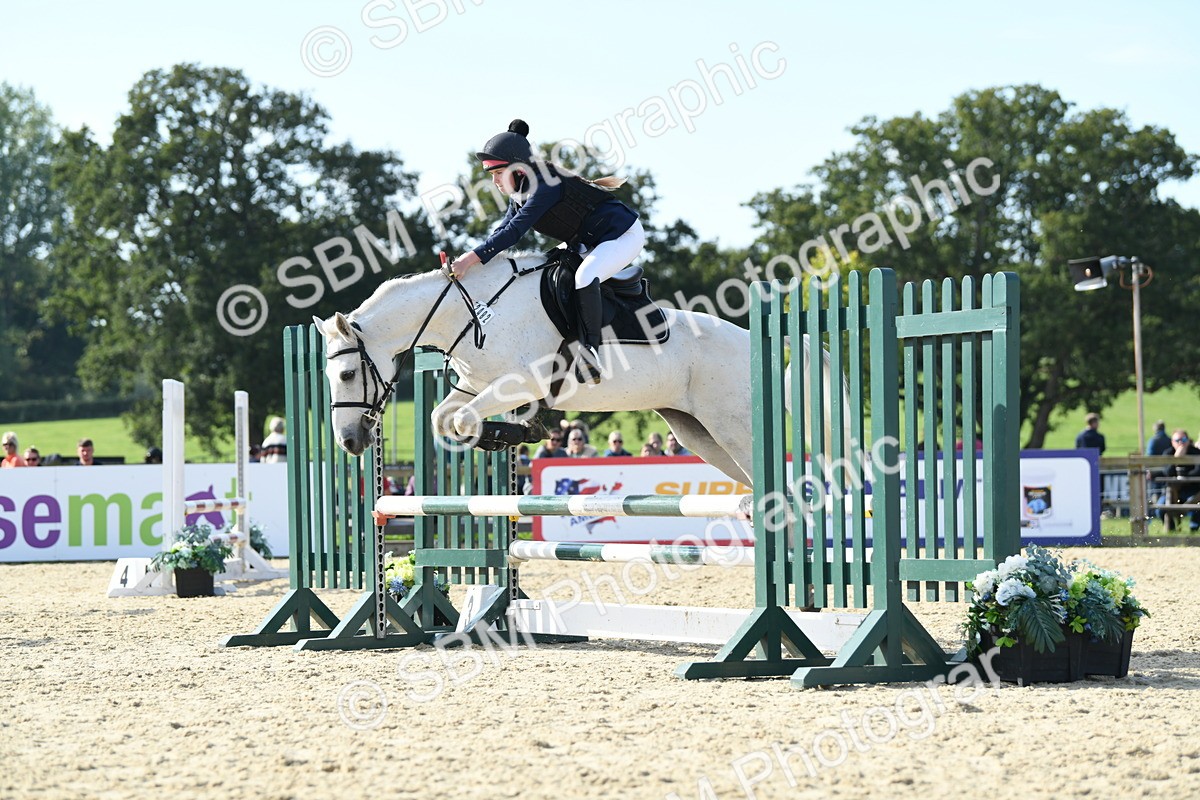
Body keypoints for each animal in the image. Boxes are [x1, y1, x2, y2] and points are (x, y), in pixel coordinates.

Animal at [314, 252, 844, 488]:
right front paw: (510, 433)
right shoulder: (477, 385)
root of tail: (754, 339)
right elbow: (444, 418)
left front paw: (514, 432)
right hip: (697, 433)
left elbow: (462, 419)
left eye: (347, 376)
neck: (472, 312)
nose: (350, 442)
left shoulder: (518, 382)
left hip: (734, 426)